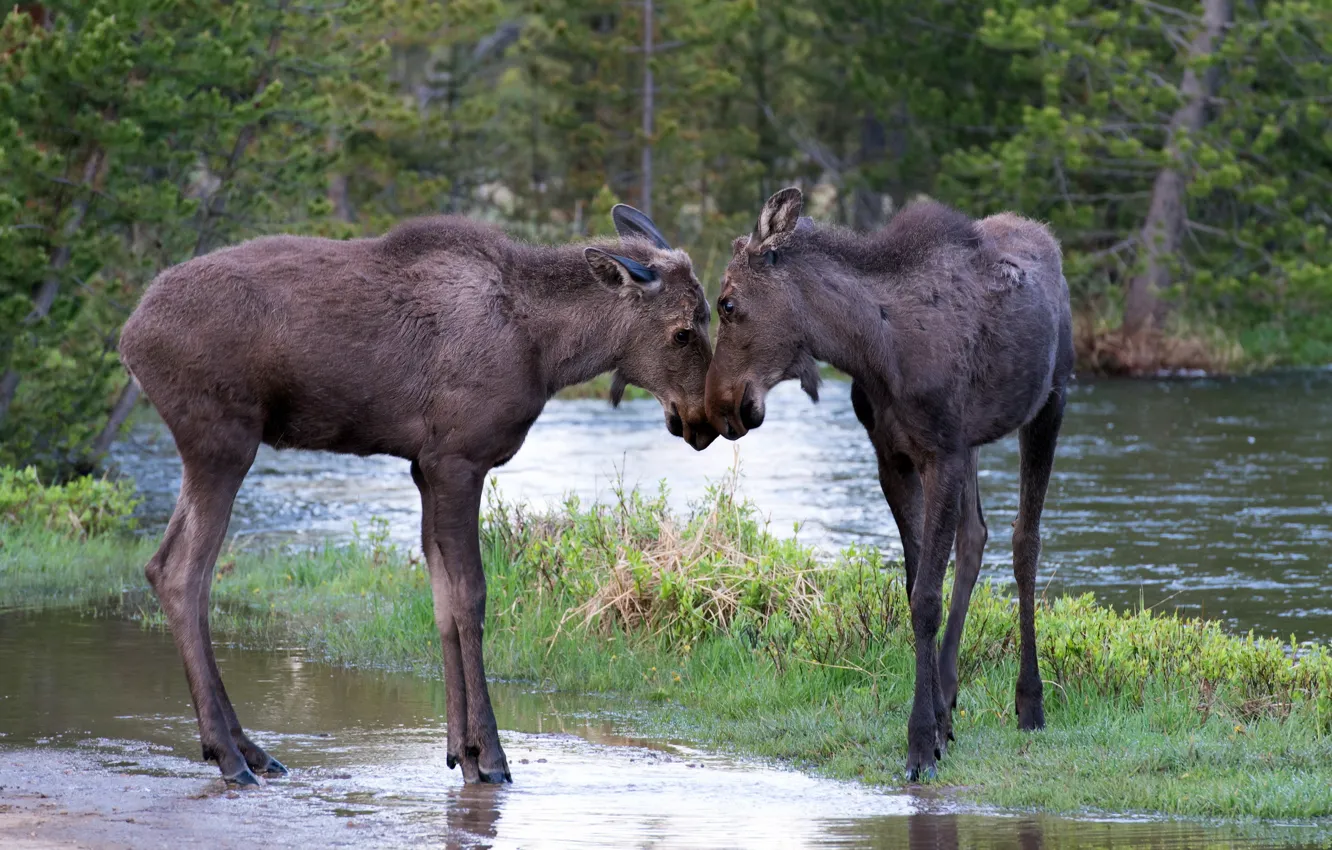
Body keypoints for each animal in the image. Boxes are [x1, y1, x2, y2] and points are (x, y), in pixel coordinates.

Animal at [118, 205, 718, 787]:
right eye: (683, 332)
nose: (707, 422)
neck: (548, 353)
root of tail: (128, 337)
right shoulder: (457, 460)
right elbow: (472, 596)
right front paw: (492, 756)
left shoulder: (422, 467)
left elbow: (443, 602)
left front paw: (461, 752)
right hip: (224, 440)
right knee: (183, 571)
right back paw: (229, 756)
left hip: (214, 447)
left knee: (163, 566)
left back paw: (249, 749)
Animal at [704, 188, 1073, 781]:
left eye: (728, 304)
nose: (718, 406)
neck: (873, 349)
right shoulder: (894, 459)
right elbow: (914, 585)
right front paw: (938, 724)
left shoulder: (940, 454)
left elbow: (925, 598)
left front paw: (920, 743)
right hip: (973, 439)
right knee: (976, 536)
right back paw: (951, 694)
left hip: (1051, 402)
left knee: (1025, 542)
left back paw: (1030, 703)